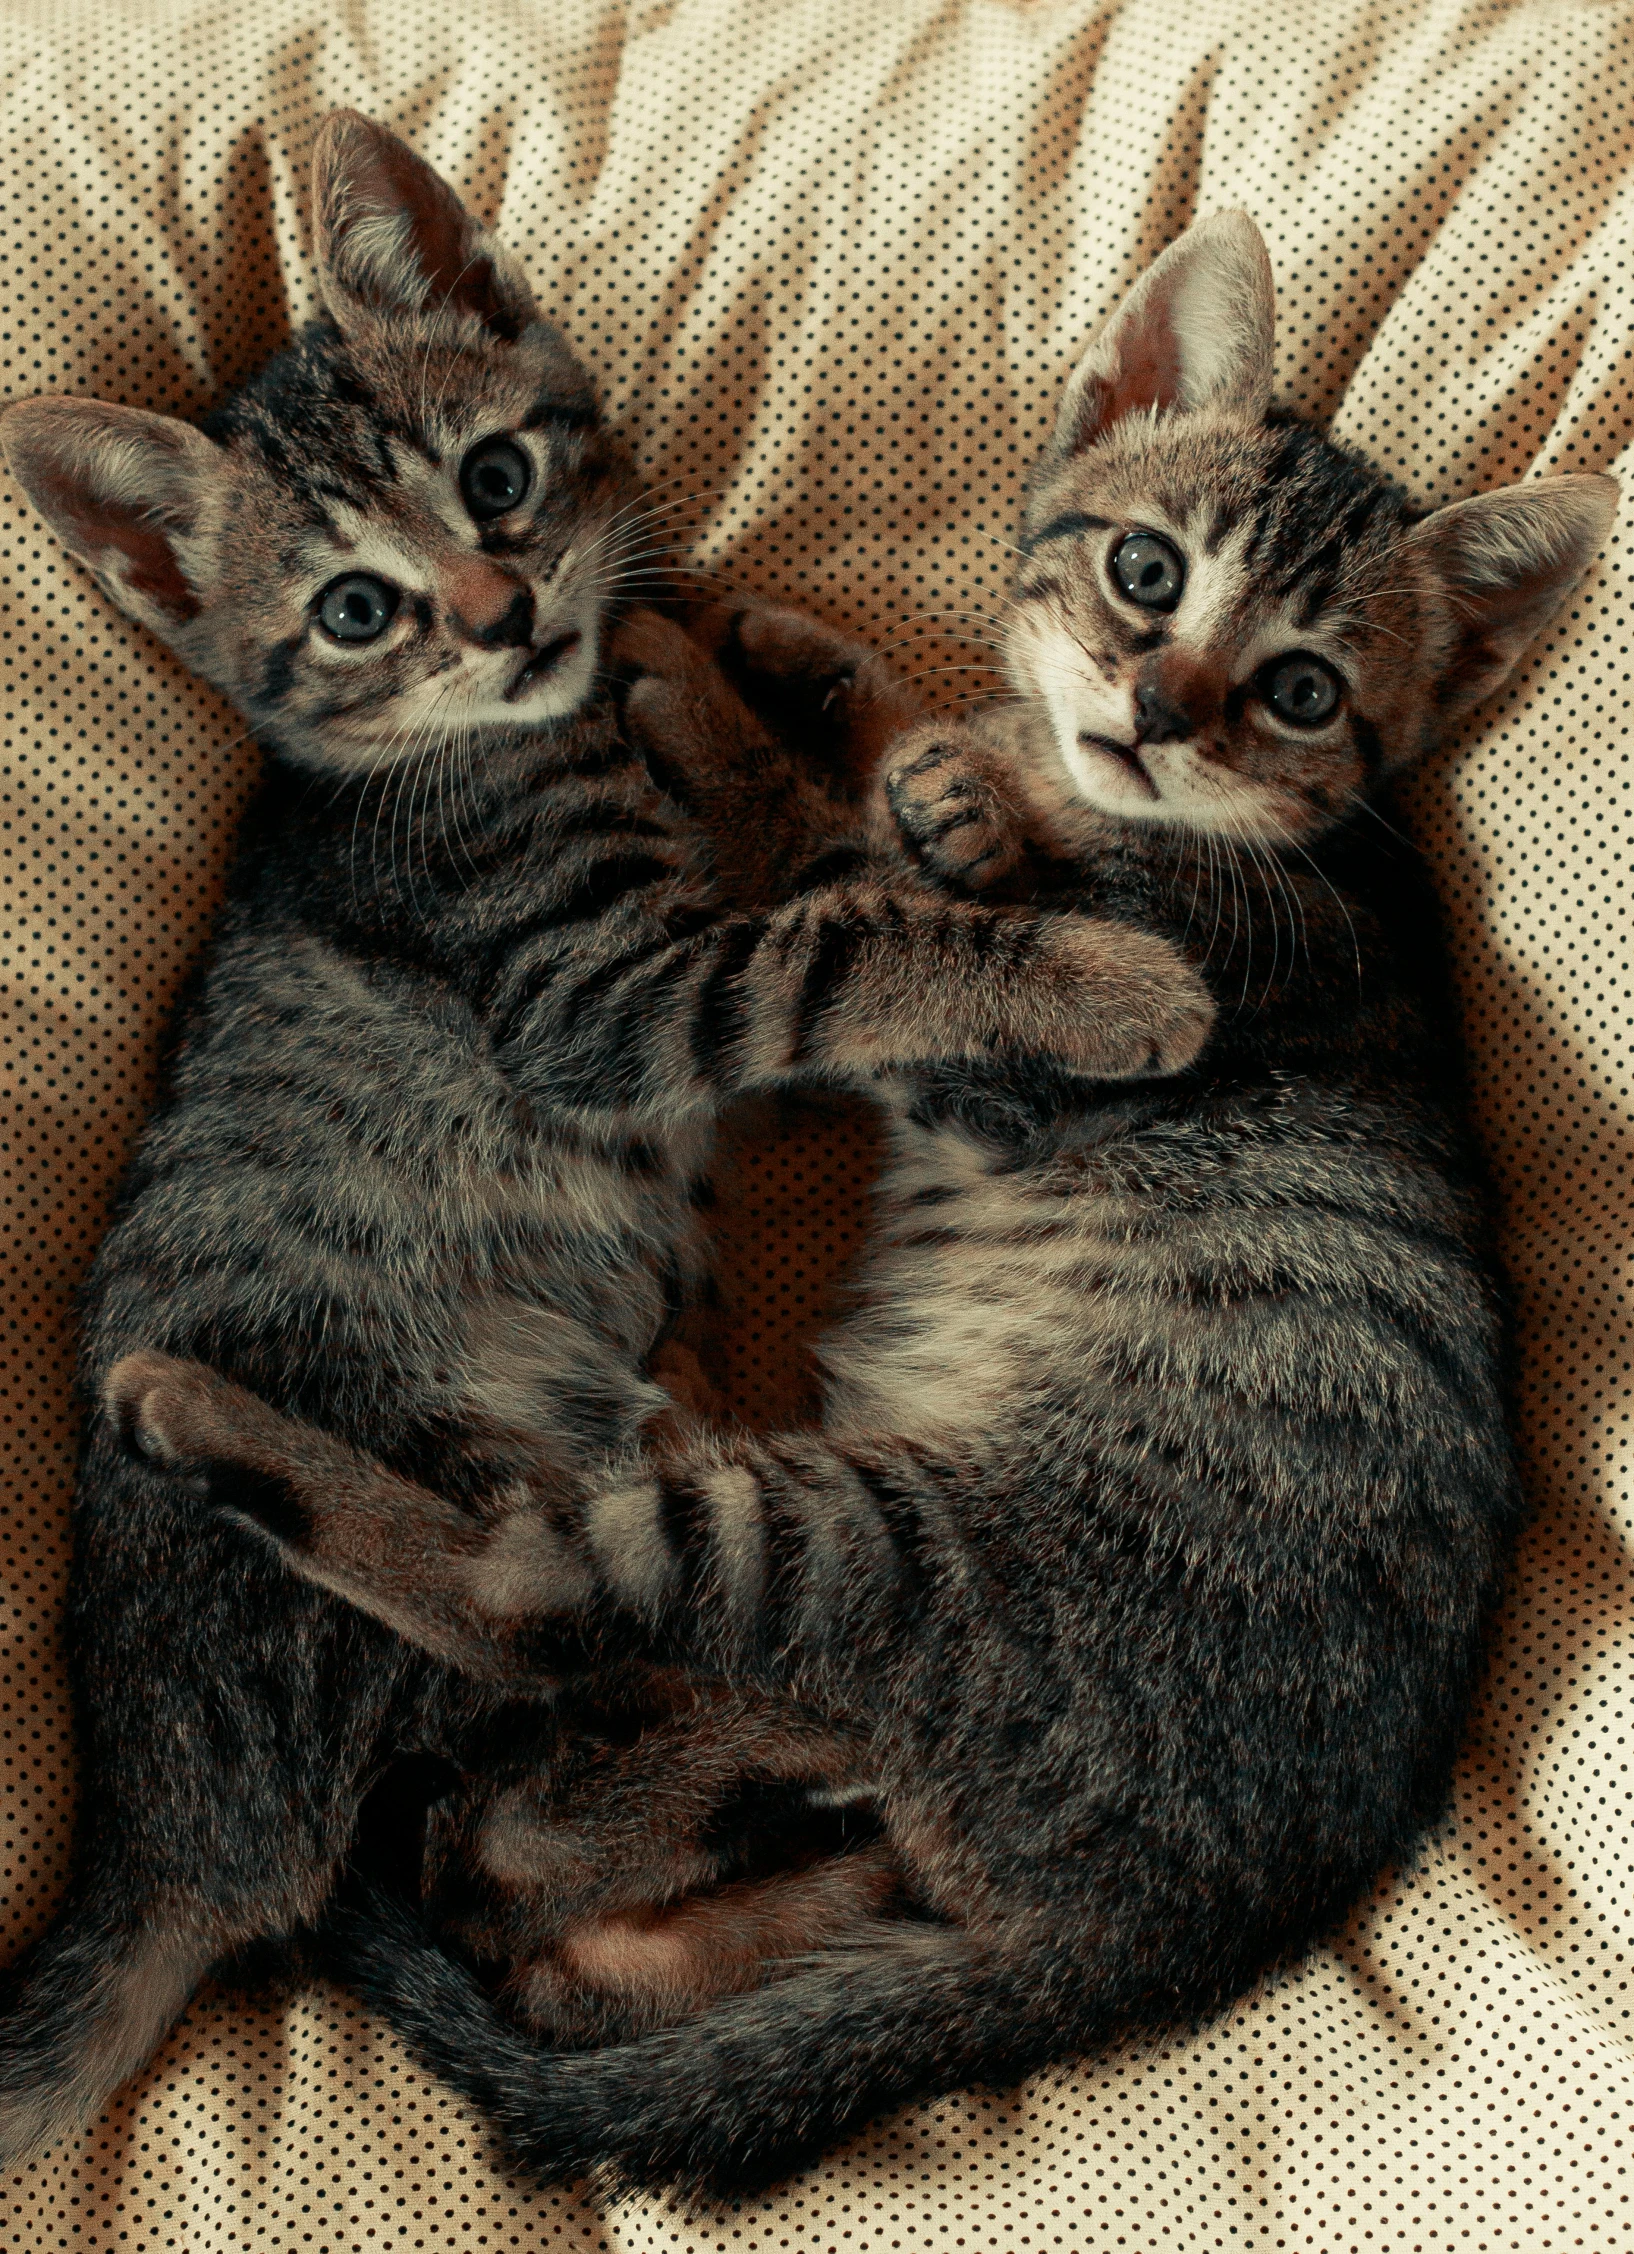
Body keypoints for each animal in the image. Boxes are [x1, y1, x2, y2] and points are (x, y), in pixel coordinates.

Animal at [0, 114, 1208, 2172]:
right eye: (354, 607)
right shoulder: (606, 1000)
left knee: (554, 1878)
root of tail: (157, 1820)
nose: (506, 615)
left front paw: (697, 648)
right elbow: (848, 935)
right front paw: (1095, 973)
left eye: (495, 475)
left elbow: (823, 857)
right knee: (518, 1727)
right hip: (451, 1459)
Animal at [117, 207, 1622, 2181]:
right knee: (577, 1867)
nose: (1155, 714)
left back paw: (202, 1422)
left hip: (866, 1544)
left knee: (535, 1623)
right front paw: (797, 658)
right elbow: (905, 785)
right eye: (1144, 571)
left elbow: (852, 899)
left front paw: (709, 702)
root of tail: (1191, 1915)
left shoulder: (1014, 1052)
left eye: (1299, 688)